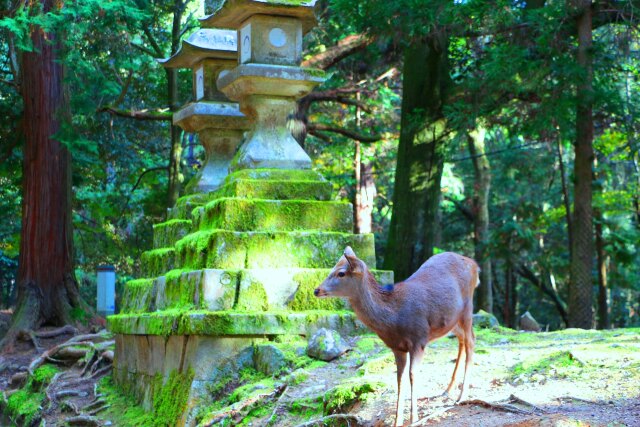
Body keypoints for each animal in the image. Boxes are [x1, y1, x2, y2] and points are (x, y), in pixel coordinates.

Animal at [312, 247, 478, 427]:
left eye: (341, 273)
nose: (316, 290)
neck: (394, 317)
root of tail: (474, 265)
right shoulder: (397, 348)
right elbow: (399, 379)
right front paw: (397, 421)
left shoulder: (419, 339)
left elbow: (412, 375)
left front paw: (414, 419)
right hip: (451, 321)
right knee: (463, 340)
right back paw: (447, 390)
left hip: (467, 308)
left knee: (471, 341)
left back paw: (462, 395)